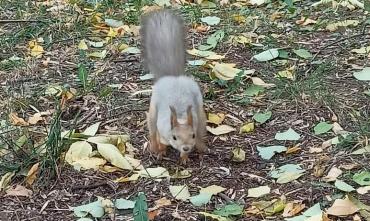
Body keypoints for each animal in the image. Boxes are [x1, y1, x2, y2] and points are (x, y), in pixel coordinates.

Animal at [140, 9, 207, 165]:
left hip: (200, 113)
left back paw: (201, 147)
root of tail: (173, 77)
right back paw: (153, 147)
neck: (181, 116)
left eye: (192, 135)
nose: (186, 147)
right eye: (175, 137)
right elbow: (162, 143)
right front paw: (161, 151)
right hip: (153, 112)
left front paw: (184, 157)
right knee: (152, 131)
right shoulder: (163, 130)